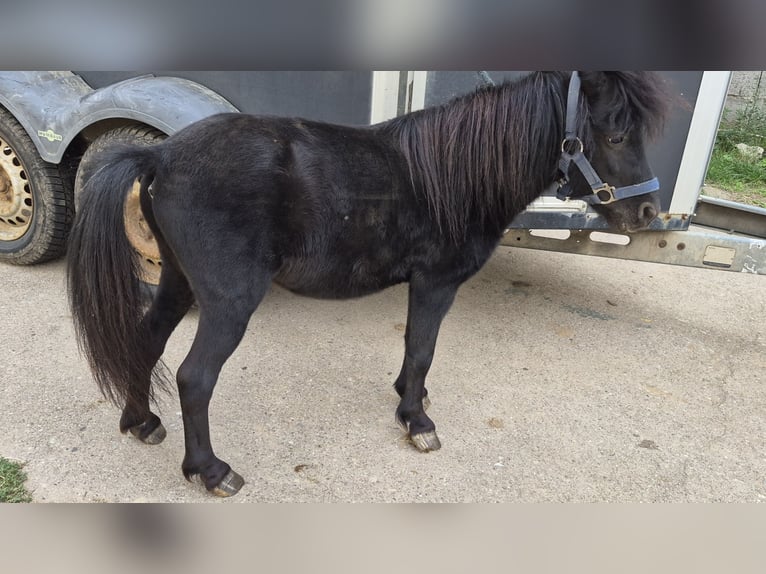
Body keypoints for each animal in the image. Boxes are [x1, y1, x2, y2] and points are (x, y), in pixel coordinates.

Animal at [67, 71, 671, 497]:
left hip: (177, 281)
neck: (452, 175)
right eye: (615, 135)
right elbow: (423, 347)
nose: (646, 213)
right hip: (228, 303)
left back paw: (142, 422)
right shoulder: (436, 282)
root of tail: (160, 152)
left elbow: (413, 349)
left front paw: (409, 396)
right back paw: (211, 472)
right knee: (194, 378)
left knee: (145, 342)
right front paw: (417, 421)